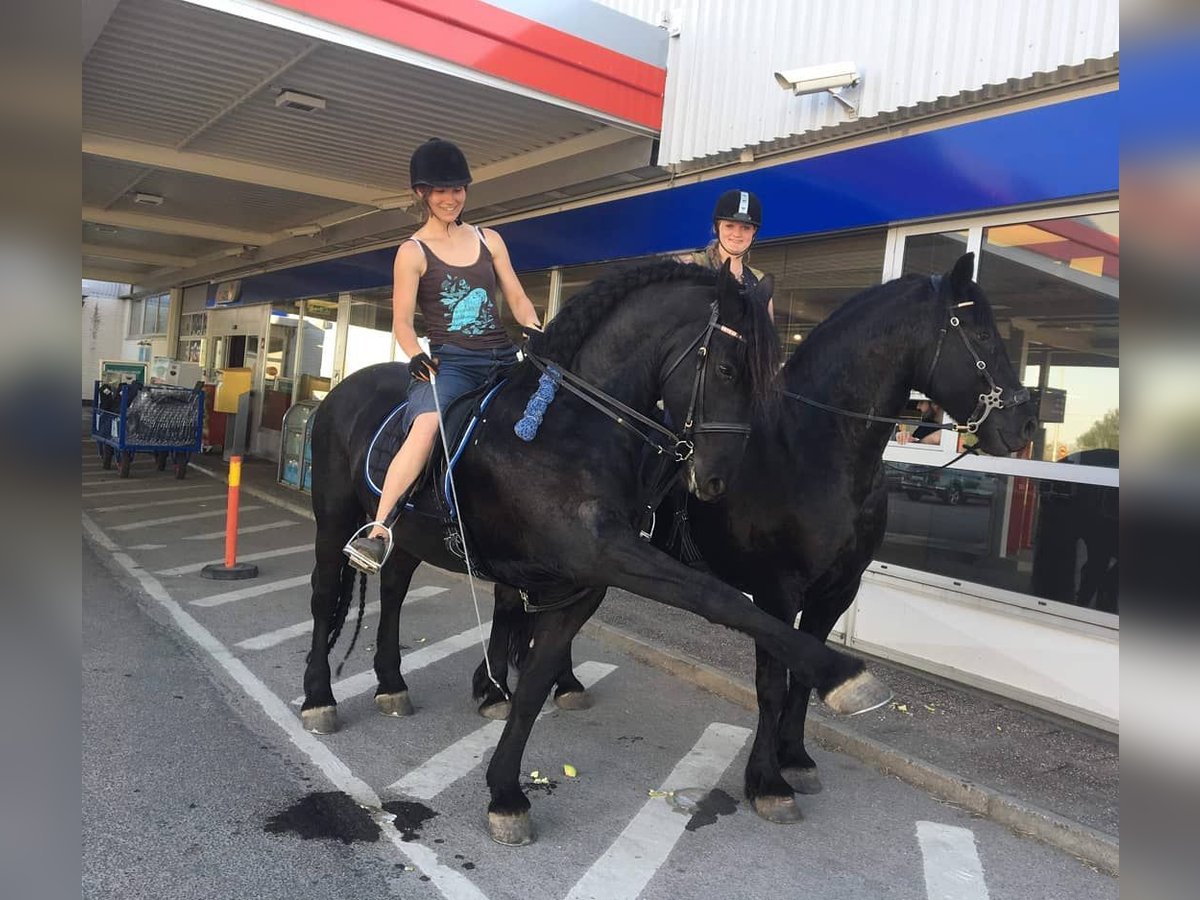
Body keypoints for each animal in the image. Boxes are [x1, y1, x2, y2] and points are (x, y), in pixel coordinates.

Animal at [300, 259, 892, 844]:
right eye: (727, 370)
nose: (718, 480)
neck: (568, 427)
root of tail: (341, 391)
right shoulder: (615, 555)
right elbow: (717, 599)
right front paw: (844, 678)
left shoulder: (586, 579)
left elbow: (536, 680)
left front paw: (506, 793)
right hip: (334, 520)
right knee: (325, 596)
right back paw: (319, 699)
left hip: (408, 536)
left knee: (396, 588)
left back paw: (392, 684)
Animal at [472, 252, 1036, 825]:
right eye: (982, 334)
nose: (1026, 423)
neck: (813, 450)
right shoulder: (776, 590)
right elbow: (772, 681)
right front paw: (768, 781)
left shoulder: (838, 590)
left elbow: (803, 676)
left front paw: (796, 757)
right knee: (508, 600)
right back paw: (493, 690)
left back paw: (562, 683)